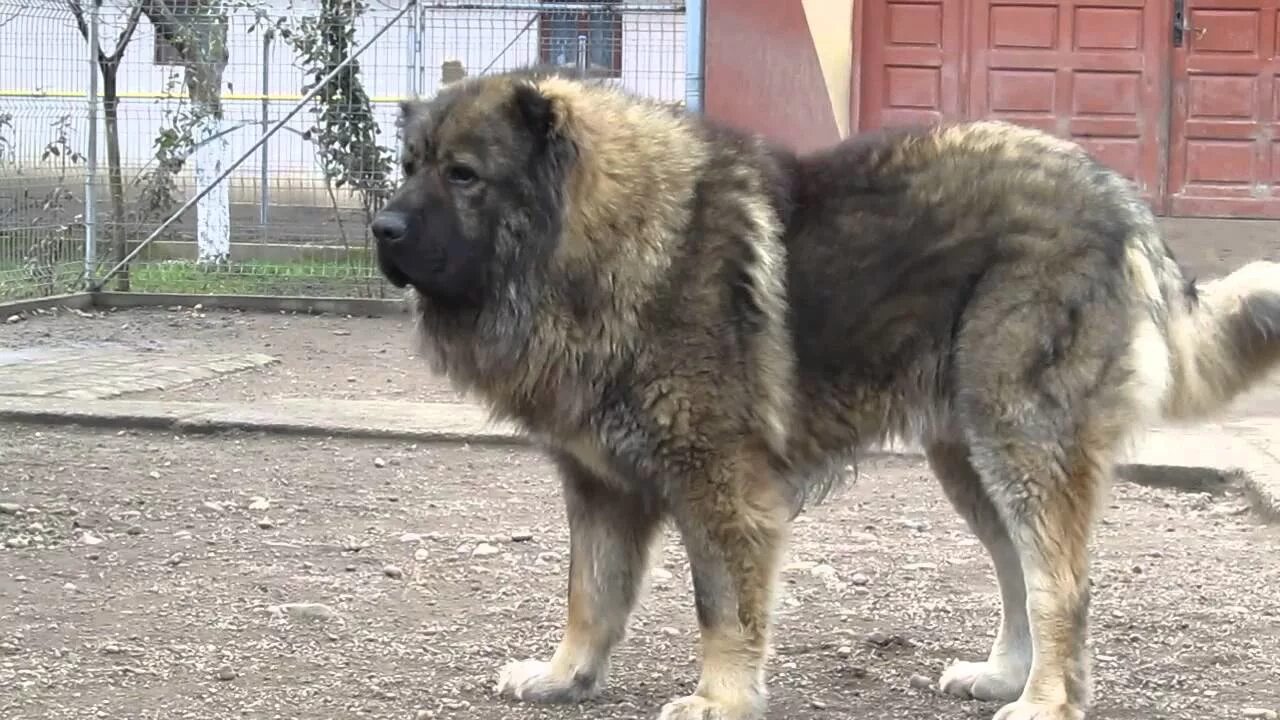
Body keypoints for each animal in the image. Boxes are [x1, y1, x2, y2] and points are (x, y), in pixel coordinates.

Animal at [368, 68, 1280, 717]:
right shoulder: (598, 486)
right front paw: (564, 677)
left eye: (464, 175)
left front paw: (722, 699)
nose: (382, 227)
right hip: (971, 460)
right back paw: (1001, 677)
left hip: (1021, 442)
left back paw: (1045, 704)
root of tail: (1120, 197)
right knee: (1020, 573)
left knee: (1062, 584)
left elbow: (721, 607)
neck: (605, 246)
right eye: (409, 167)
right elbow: (590, 595)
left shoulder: (720, 485)